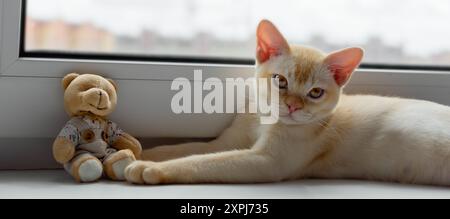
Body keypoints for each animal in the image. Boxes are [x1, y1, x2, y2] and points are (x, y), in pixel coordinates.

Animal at [125, 20, 450, 185]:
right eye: (280, 81)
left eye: (315, 93)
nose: (293, 107)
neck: (264, 121)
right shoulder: (226, 142)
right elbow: (186, 148)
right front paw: (145, 152)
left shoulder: (266, 162)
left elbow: (199, 162)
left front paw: (147, 168)